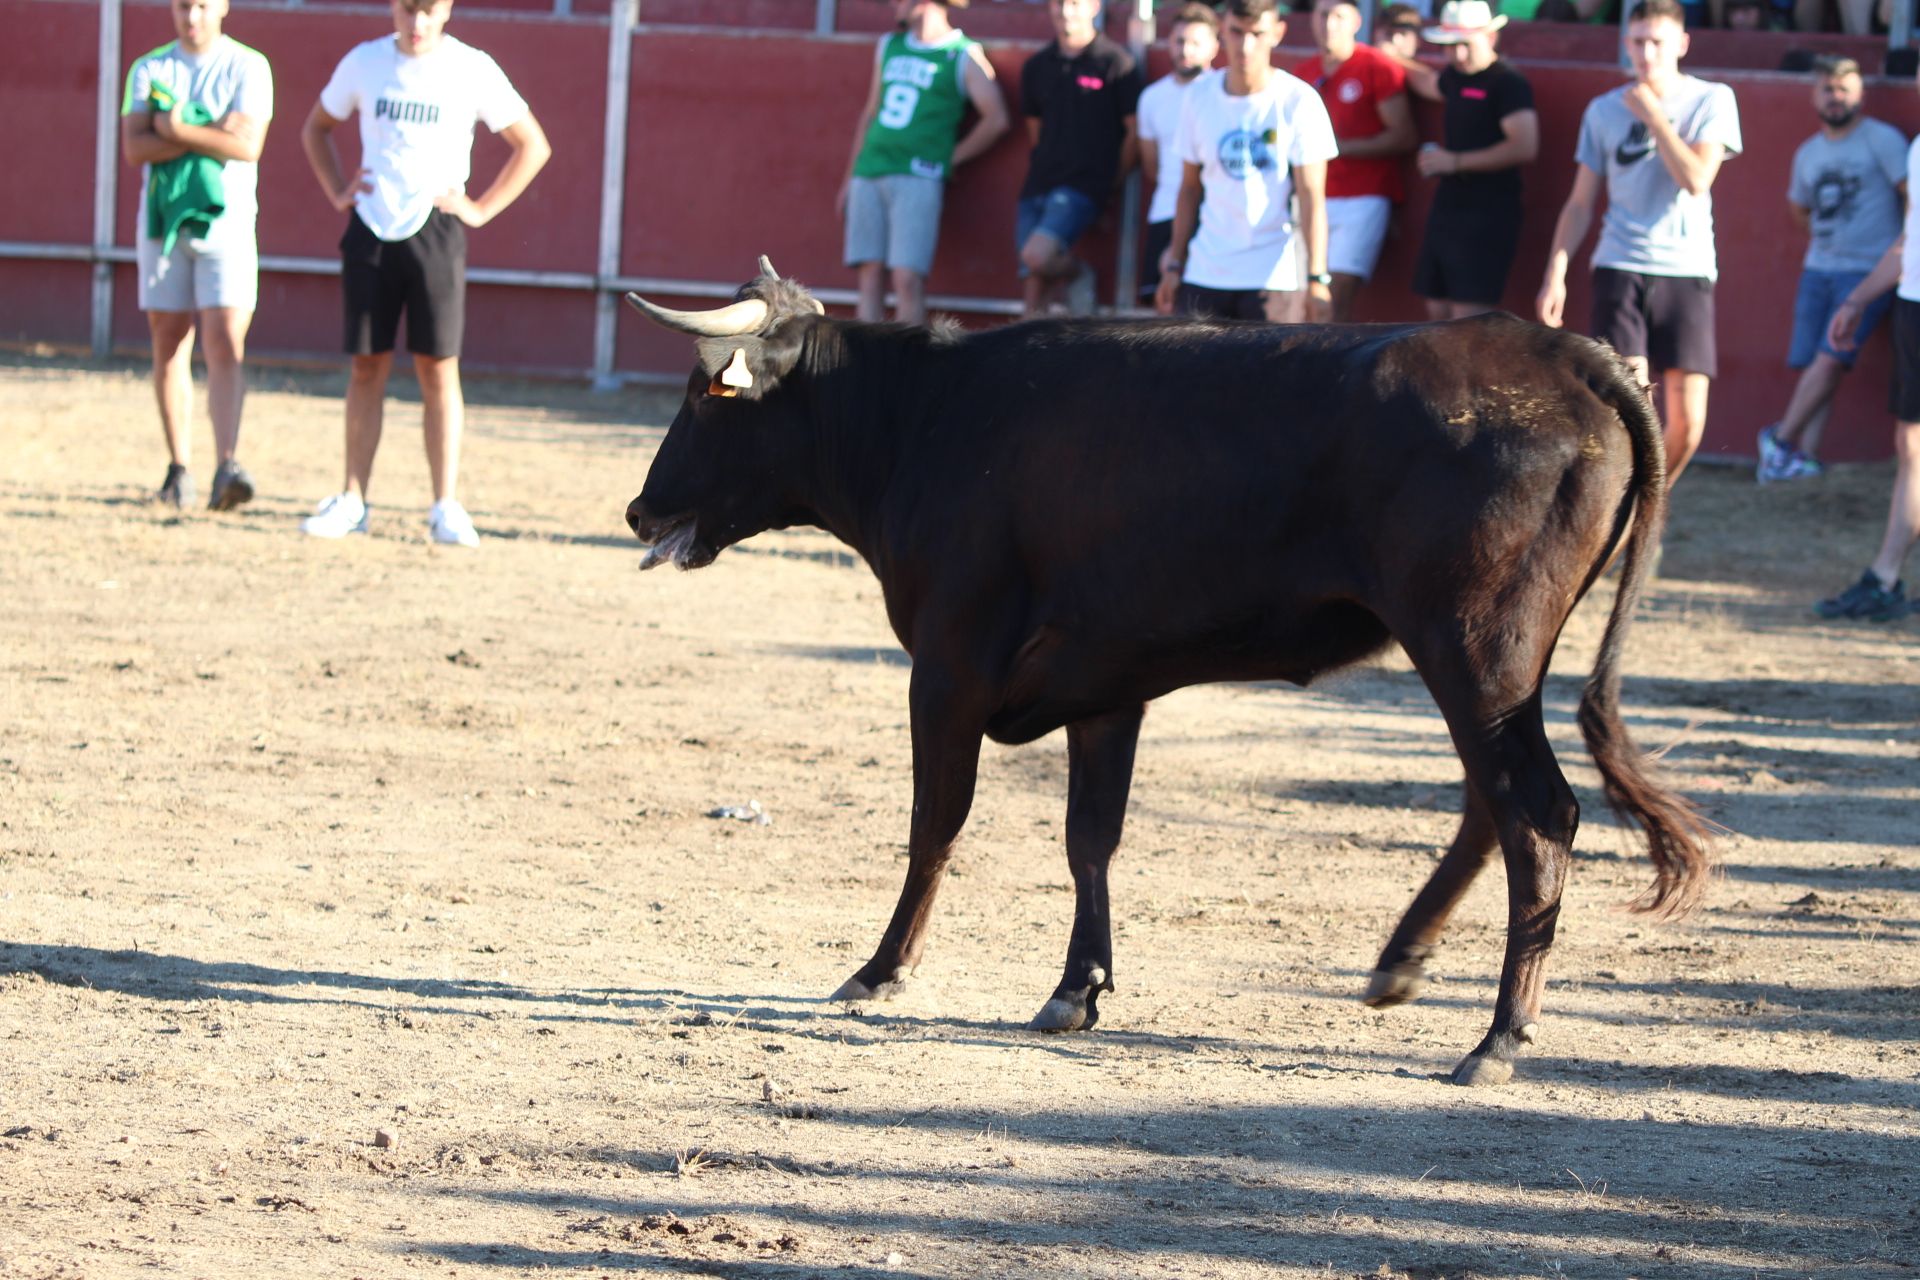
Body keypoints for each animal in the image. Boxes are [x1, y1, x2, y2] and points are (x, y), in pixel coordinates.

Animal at [625, 264, 1712, 1090]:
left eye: (704, 395)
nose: (639, 509)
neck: (920, 421)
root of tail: (1571, 357)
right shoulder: (1107, 685)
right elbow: (1089, 838)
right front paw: (1077, 987)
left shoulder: (947, 667)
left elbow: (937, 822)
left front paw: (882, 968)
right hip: (1483, 666)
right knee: (1493, 805)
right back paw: (1401, 965)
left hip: (1478, 647)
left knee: (1537, 814)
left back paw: (1497, 1038)